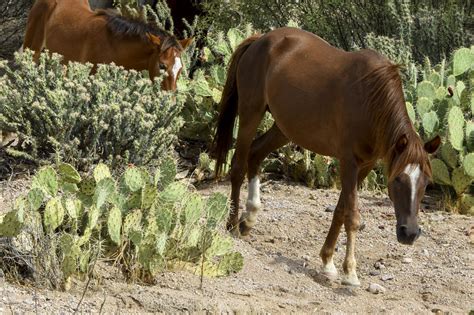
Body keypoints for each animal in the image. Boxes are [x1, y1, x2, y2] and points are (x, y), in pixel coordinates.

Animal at [212, 28, 440, 288]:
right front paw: (350, 272)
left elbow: (341, 210)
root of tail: (259, 40)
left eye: (426, 183)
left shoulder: (365, 165)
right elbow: (351, 215)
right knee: (238, 166)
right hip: (251, 112)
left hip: (285, 127)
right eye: (398, 180)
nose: (409, 233)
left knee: (255, 154)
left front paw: (328, 261)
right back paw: (233, 224)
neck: (371, 101)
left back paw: (249, 217)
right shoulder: (348, 162)